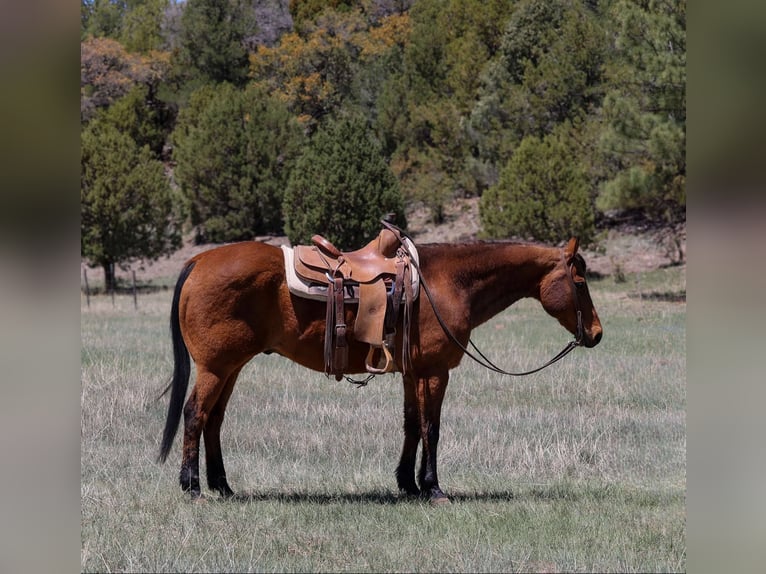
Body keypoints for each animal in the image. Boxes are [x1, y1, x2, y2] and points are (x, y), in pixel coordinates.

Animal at [158, 234, 602, 503]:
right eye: (580, 282)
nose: (596, 333)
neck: (446, 282)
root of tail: (199, 259)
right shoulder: (435, 372)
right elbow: (431, 428)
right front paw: (433, 488)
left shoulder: (413, 373)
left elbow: (411, 425)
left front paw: (407, 483)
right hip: (215, 368)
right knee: (195, 415)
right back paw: (192, 486)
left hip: (231, 367)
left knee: (214, 420)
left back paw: (223, 485)